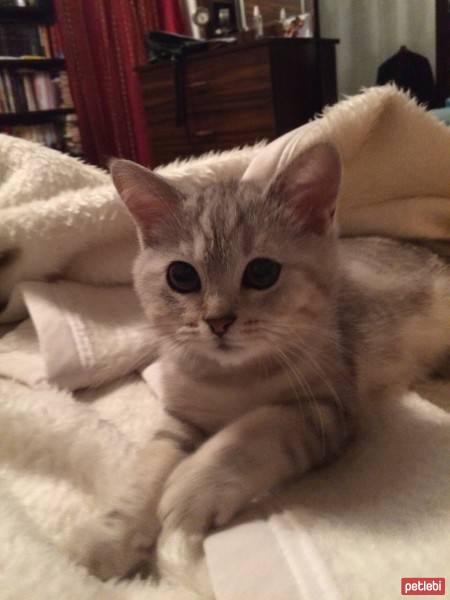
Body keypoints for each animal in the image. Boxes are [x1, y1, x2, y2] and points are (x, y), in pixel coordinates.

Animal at [73, 143, 450, 580]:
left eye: (262, 271)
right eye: (181, 276)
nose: (218, 321)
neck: (233, 378)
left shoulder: (327, 408)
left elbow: (254, 430)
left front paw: (193, 485)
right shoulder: (182, 418)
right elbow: (148, 466)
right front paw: (110, 533)